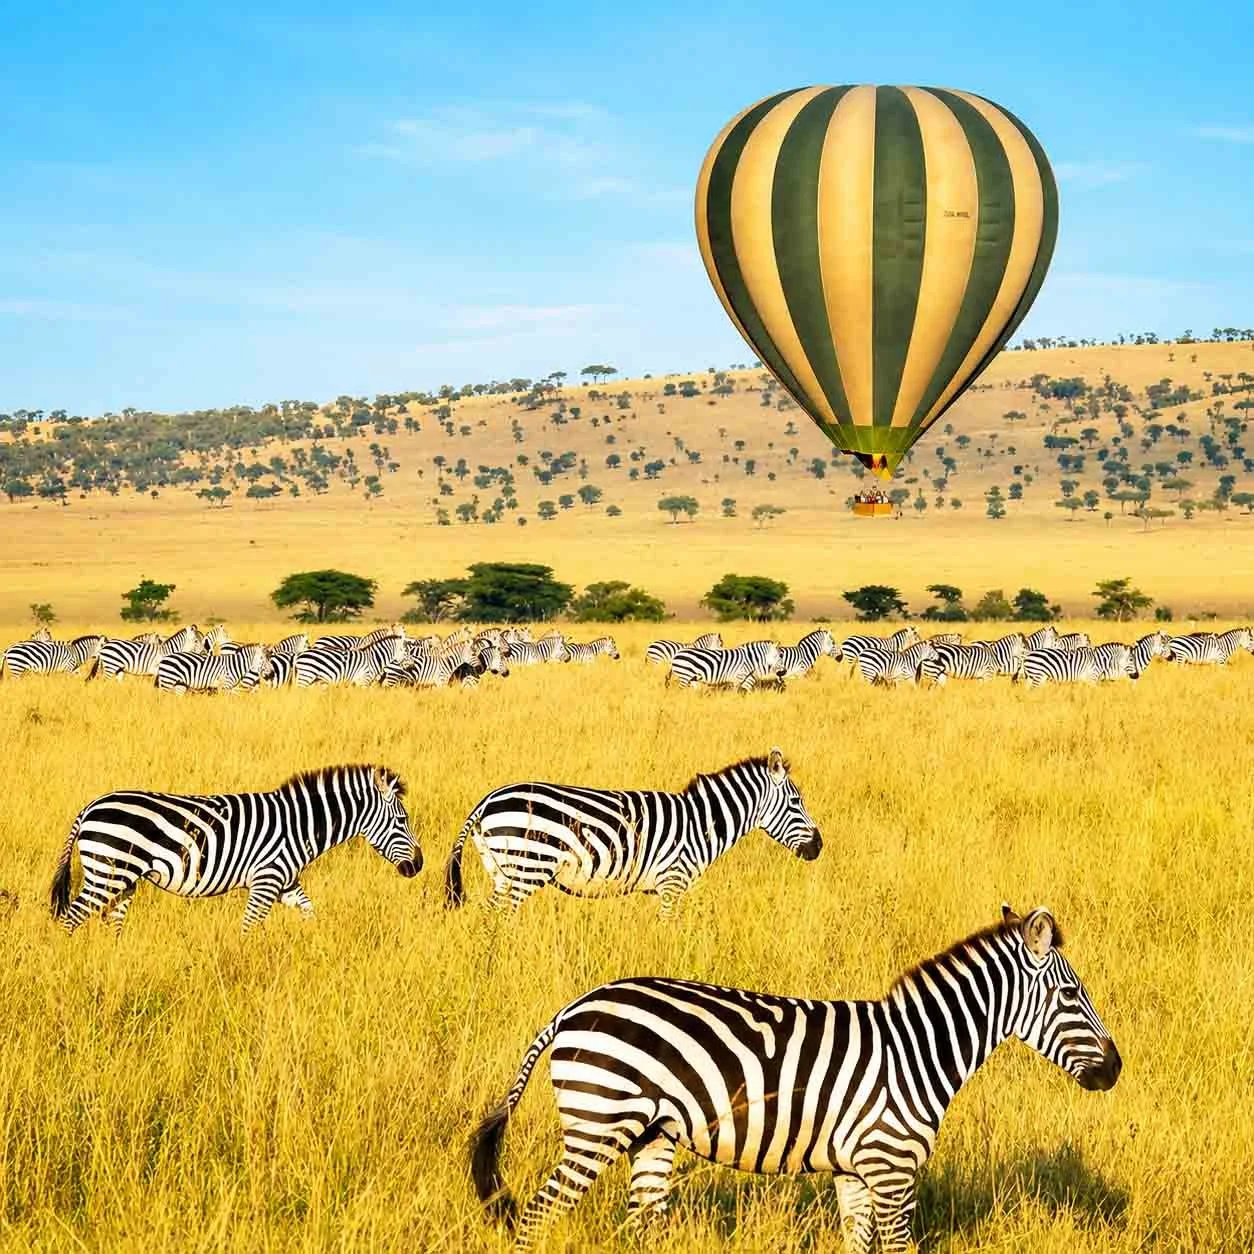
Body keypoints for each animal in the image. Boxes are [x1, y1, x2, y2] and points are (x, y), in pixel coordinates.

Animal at [49, 764, 421, 935]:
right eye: (402, 820)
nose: (418, 866)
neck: (300, 825)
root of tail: (90, 807)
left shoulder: (286, 883)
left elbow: (309, 911)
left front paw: (314, 943)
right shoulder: (266, 880)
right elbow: (249, 927)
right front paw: (245, 960)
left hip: (121, 879)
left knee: (112, 922)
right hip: (106, 874)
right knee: (71, 918)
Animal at [445, 749, 820, 917]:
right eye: (796, 801)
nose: (819, 847)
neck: (703, 824)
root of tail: (487, 801)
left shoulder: (657, 889)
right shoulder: (673, 883)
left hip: (502, 870)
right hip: (527, 868)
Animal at [470, 905, 1120, 1253]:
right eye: (1071, 994)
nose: (1115, 1070)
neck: (918, 1051)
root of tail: (572, 1008)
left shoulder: (855, 1171)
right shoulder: (892, 1166)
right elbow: (899, 1246)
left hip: (650, 1135)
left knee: (640, 1226)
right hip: (599, 1125)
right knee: (536, 1218)